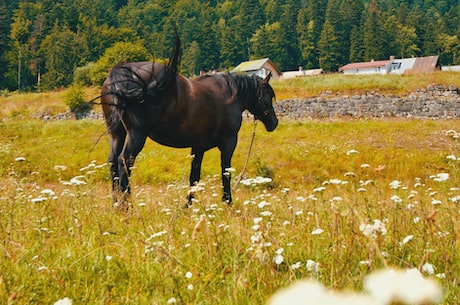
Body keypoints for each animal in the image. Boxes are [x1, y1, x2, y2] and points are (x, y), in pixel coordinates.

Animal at [100, 32, 278, 208]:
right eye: (269, 95)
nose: (274, 123)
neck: (230, 96)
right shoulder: (228, 143)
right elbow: (225, 172)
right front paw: (228, 202)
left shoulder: (198, 147)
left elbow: (194, 176)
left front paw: (188, 205)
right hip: (136, 134)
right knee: (124, 161)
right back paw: (126, 205)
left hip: (117, 134)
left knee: (113, 162)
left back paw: (115, 203)